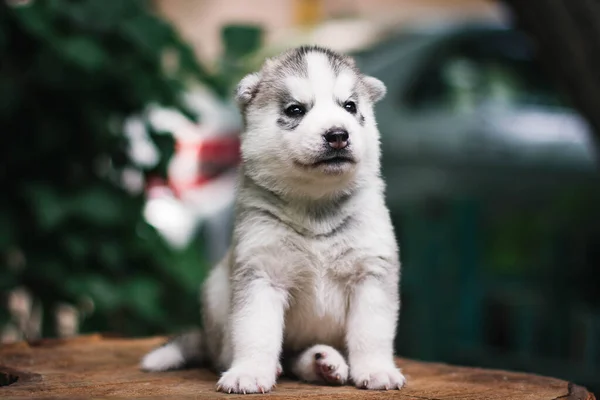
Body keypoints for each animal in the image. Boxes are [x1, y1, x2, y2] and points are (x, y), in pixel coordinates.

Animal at [141, 46, 406, 394]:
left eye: (350, 106)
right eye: (295, 110)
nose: (338, 135)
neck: (316, 206)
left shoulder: (371, 272)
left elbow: (372, 331)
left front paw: (376, 370)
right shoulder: (261, 273)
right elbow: (256, 332)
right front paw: (250, 372)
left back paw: (324, 362)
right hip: (216, 292)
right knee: (247, 353)